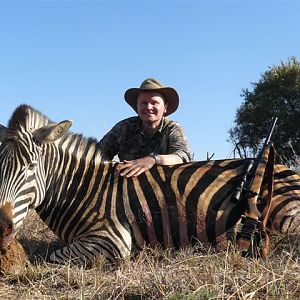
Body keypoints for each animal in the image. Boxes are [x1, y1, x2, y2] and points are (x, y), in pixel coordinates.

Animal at [0, 104, 298, 264]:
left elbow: (49, 258)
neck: (81, 189)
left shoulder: (112, 240)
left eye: (30, 167)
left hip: (284, 217)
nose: (2, 229)